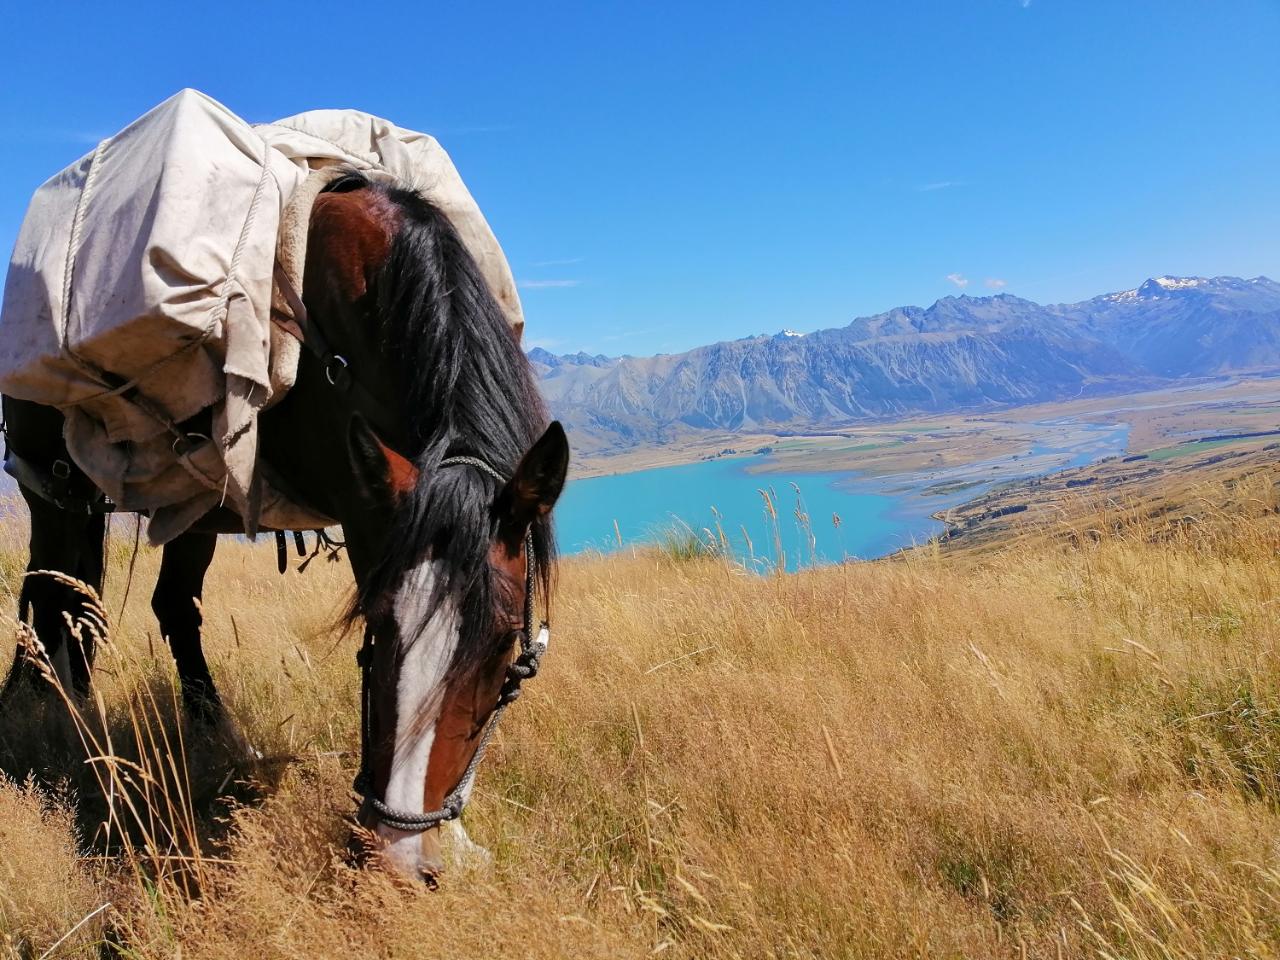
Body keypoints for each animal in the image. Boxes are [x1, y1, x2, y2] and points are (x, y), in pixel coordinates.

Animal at [0, 168, 570, 885]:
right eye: (377, 626)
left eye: (501, 650)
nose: (402, 859)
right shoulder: (368, 508)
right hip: (53, 492)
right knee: (52, 601)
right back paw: (60, 726)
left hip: (192, 508)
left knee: (166, 606)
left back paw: (216, 739)